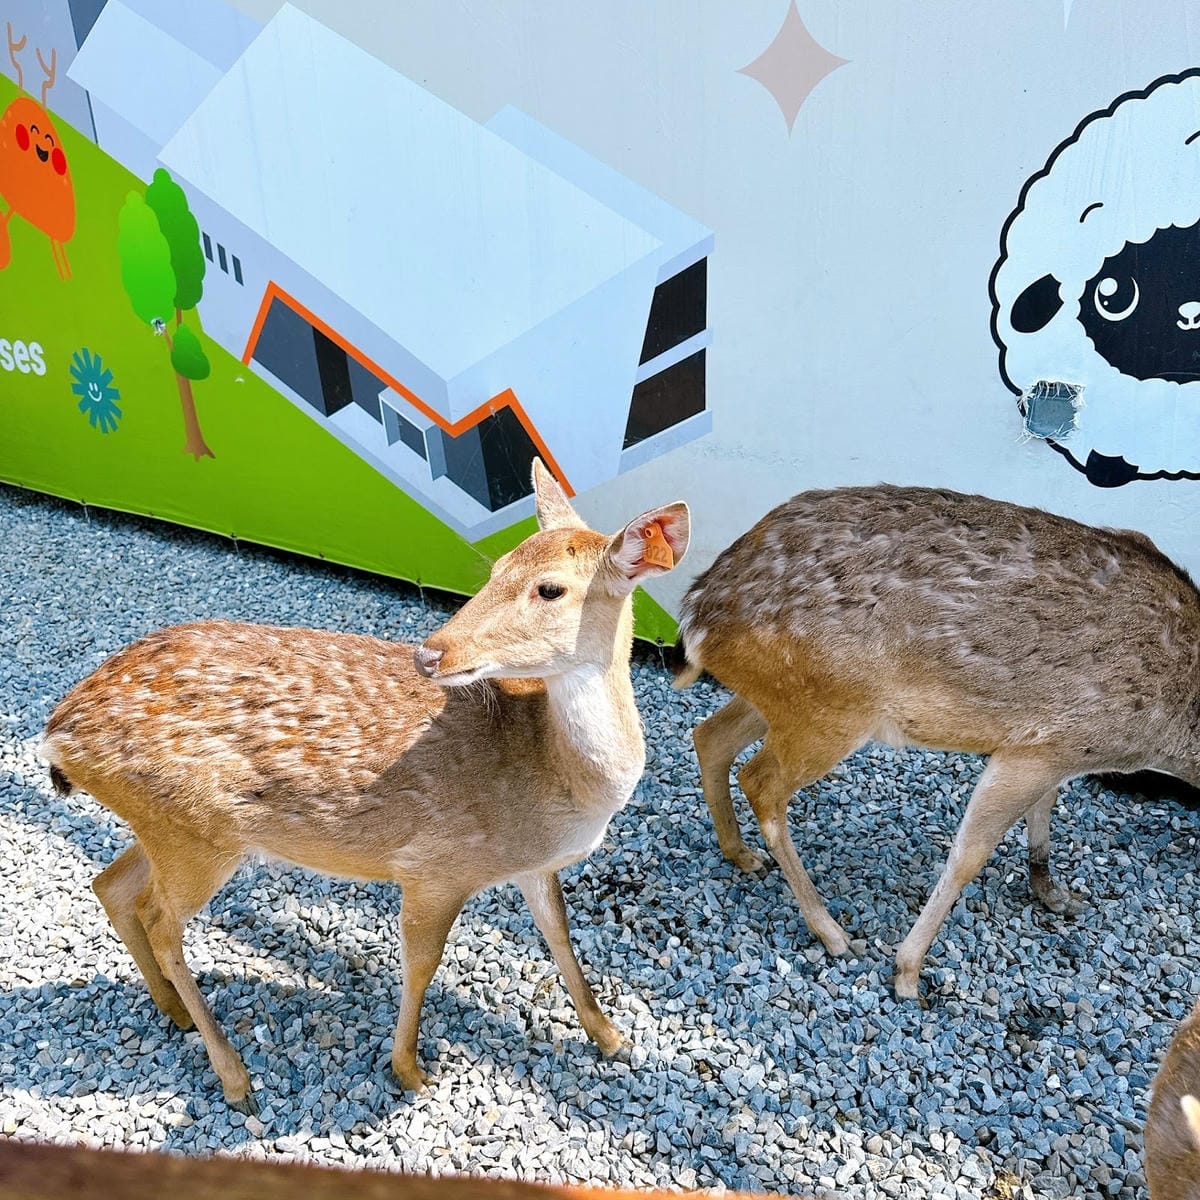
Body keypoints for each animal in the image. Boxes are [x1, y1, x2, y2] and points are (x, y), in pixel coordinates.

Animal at [40, 460, 690, 1109]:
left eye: (550, 588)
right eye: (496, 568)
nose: (431, 654)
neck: (554, 780)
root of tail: (57, 734)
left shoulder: (532, 865)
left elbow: (560, 936)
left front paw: (611, 1038)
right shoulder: (435, 865)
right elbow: (422, 962)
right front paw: (409, 1071)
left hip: (169, 827)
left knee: (112, 884)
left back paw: (173, 1012)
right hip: (197, 834)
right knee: (160, 921)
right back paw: (234, 1075)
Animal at [671, 484, 1200, 999]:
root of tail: (695, 617)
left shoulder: (1054, 747)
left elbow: (1043, 810)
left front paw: (1056, 895)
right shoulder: (1044, 747)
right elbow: (968, 856)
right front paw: (908, 974)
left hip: (784, 701)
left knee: (711, 735)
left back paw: (740, 854)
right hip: (831, 707)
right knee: (760, 781)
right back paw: (833, 933)